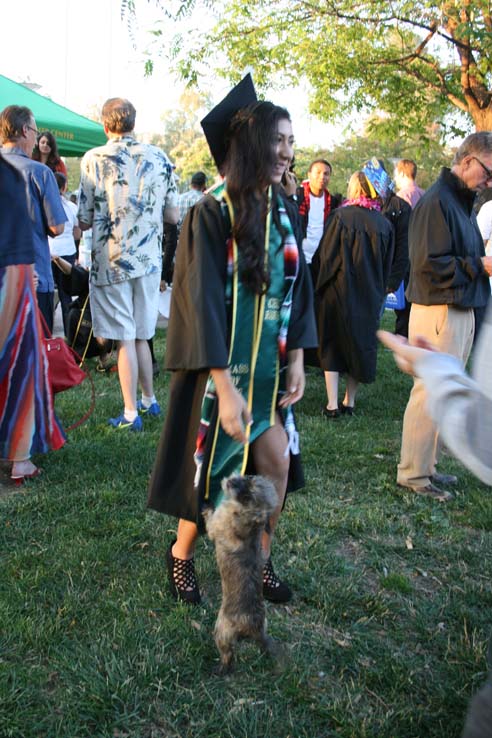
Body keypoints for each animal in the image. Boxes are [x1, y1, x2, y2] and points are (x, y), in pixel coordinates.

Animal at [203, 472, 280, 672]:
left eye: (247, 497)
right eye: (249, 477)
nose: (231, 480)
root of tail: (254, 628)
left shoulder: (216, 525)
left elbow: (210, 520)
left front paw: (207, 506)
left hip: (222, 631)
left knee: (228, 656)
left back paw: (220, 669)